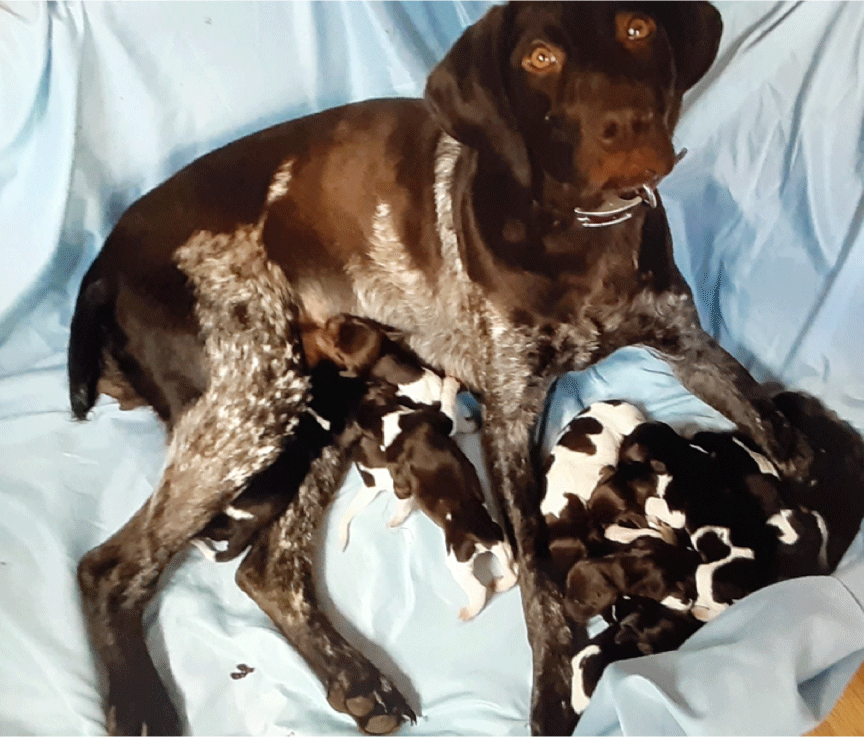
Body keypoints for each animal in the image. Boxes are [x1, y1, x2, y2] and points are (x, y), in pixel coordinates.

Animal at [67, 2, 808, 732]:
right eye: (540, 58)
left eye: (638, 28)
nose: (625, 126)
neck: (584, 232)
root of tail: (103, 264)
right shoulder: (509, 417)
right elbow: (540, 583)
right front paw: (552, 692)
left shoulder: (690, 347)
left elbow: (782, 440)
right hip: (250, 400)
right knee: (109, 568)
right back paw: (143, 704)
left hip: (314, 399)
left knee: (269, 570)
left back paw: (357, 680)